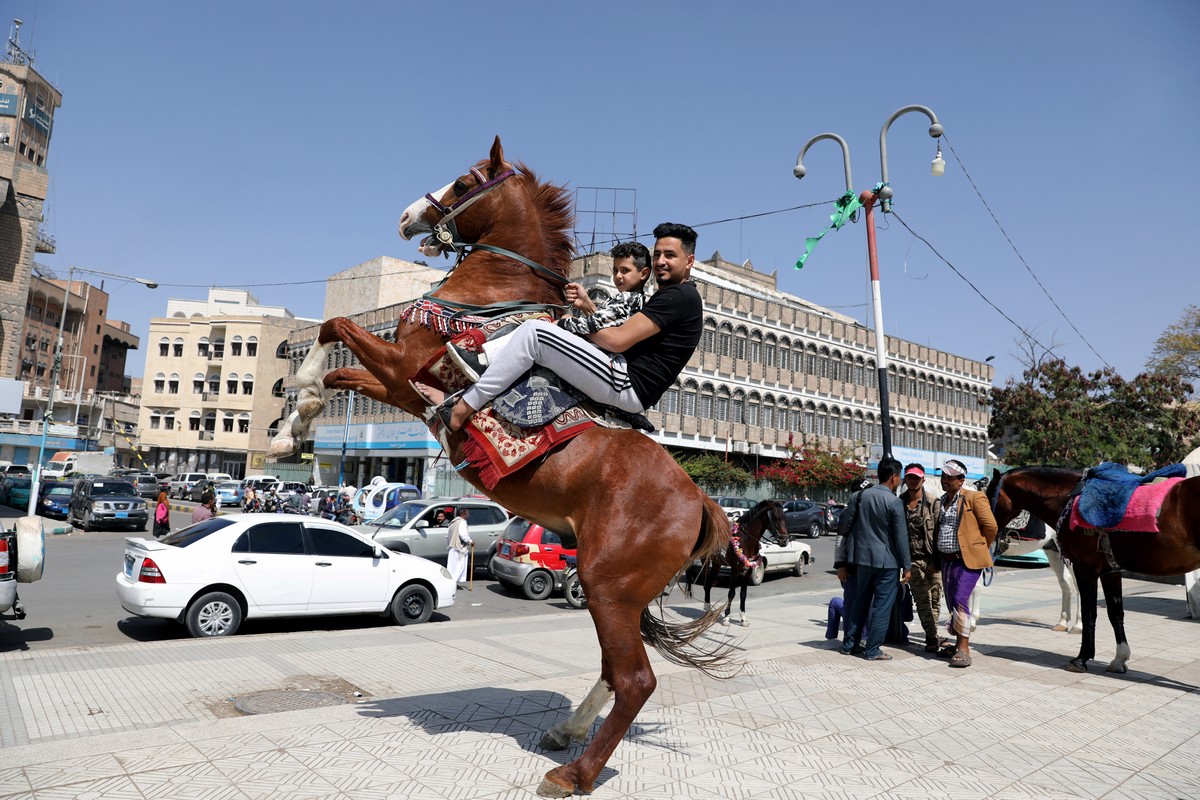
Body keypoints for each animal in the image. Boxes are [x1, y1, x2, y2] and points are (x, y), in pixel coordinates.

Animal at [267, 136, 724, 796]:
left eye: (463, 182)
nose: (407, 217)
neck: (490, 292)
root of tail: (702, 503)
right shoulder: (400, 384)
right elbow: (336, 373)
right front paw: (292, 428)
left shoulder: (402, 366)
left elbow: (336, 328)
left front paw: (295, 407)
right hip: (617, 591)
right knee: (614, 671)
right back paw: (565, 732)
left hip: (609, 587)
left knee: (636, 679)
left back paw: (574, 773)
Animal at [984, 465, 1200, 671]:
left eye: (989, 494)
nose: (985, 531)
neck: (1070, 500)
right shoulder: (1110, 570)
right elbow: (1115, 612)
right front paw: (1120, 658)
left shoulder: (1085, 568)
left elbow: (1090, 611)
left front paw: (1081, 658)